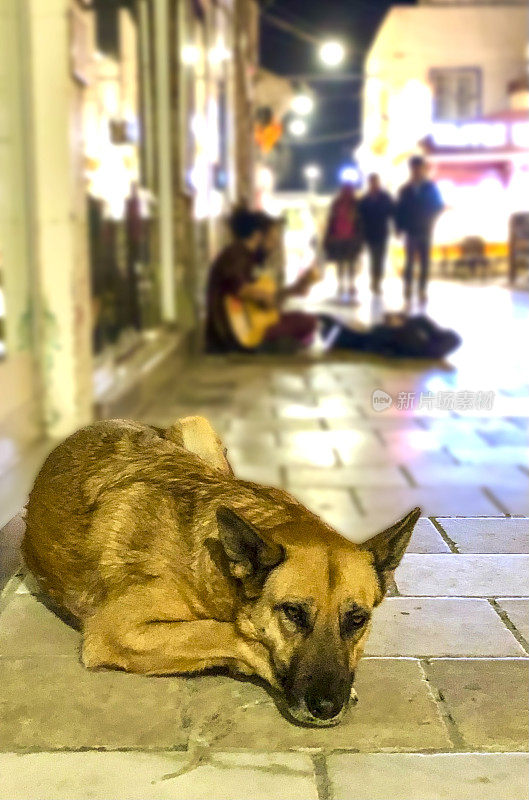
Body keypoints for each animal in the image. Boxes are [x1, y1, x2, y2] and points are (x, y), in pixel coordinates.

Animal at [23, 422, 420, 728]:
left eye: (357, 620)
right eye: (293, 613)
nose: (326, 708)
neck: (217, 567)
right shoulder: (114, 630)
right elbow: (220, 632)